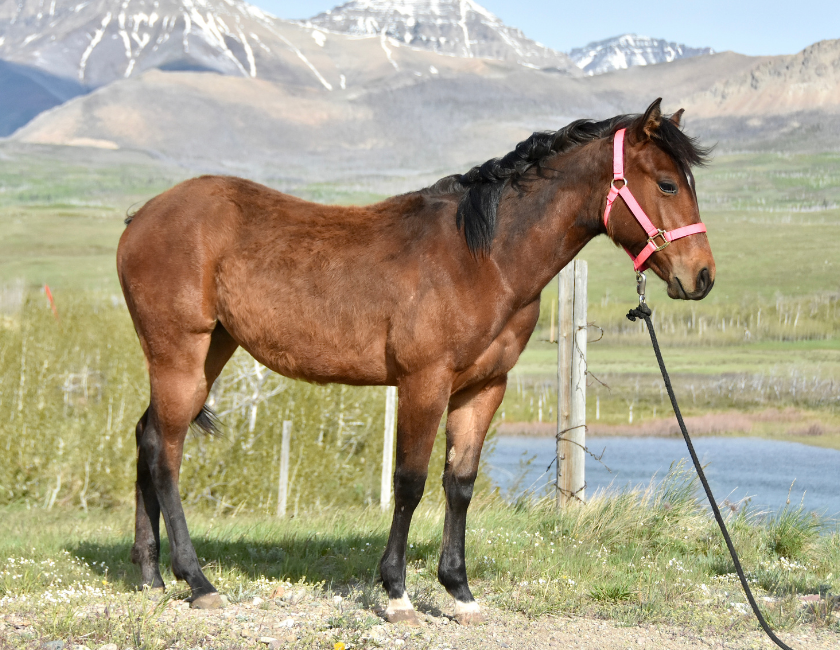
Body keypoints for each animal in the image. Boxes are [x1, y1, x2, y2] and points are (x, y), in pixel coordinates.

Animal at [116, 98, 714, 624]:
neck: (482, 258)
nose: (702, 276)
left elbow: (460, 484)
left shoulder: (484, 387)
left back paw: (150, 576)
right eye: (666, 183)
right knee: (166, 454)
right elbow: (409, 482)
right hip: (179, 353)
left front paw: (460, 591)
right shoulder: (424, 381)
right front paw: (398, 593)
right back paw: (197, 582)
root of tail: (141, 216)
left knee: (148, 436)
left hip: (210, 350)